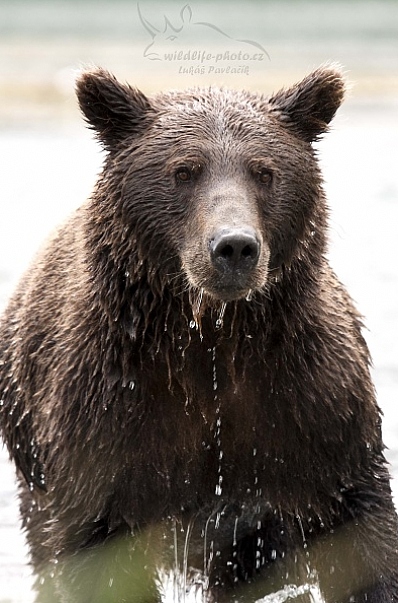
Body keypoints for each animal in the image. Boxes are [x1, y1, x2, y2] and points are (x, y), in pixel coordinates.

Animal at [0, 66, 398, 603]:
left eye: (264, 171)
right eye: (184, 171)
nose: (234, 246)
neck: (209, 337)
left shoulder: (308, 402)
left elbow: (360, 530)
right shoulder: (106, 415)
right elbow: (98, 550)